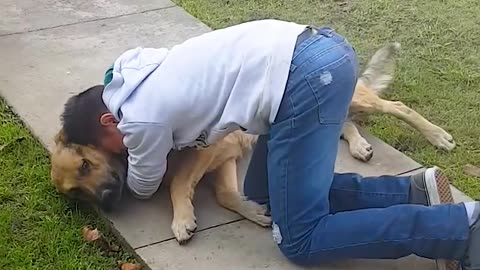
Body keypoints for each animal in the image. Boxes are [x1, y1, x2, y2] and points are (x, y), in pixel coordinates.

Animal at [50, 42, 456, 243]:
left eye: (86, 164)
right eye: (76, 194)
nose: (106, 201)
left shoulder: (211, 145)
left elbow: (180, 182)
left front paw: (181, 217)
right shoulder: (225, 157)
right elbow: (226, 194)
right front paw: (252, 209)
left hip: (354, 96)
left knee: (396, 106)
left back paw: (437, 135)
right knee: (344, 124)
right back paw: (359, 145)